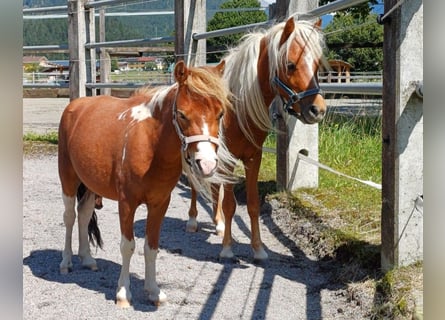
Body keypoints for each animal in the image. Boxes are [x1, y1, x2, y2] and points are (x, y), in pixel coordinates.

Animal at [56, 61, 232, 306]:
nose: (206, 164)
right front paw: (123, 294)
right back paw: (66, 262)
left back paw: (87, 259)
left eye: (220, 113)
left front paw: (154, 291)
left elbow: (151, 247)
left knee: (83, 214)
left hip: (91, 185)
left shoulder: (159, 204)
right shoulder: (126, 204)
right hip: (68, 179)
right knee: (70, 217)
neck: (150, 144)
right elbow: (127, 246)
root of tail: (75, 106)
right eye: (182, 114)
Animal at [186, 18, 328, 260]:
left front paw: (258, 249)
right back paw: (194, 220)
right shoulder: (229, 158)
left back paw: (218, 223)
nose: (317, 110)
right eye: (290, 65)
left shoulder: (253, 157)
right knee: (196, 184)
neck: (238, 108)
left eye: (317, 64)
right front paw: (227, 248)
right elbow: (230, 204)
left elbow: (252, 204)